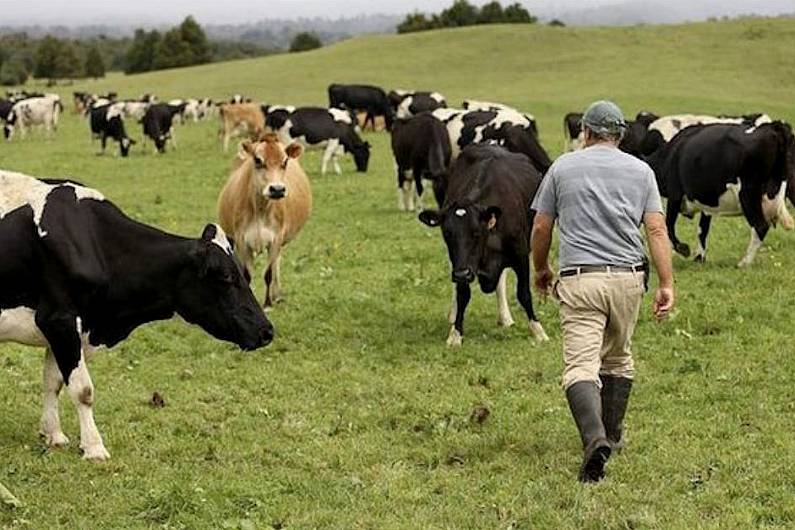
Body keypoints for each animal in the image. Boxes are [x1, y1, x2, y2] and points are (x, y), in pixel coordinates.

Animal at [0, 170, 274, 458]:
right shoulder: (58, 320)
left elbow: (53, 382)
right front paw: (94, 447)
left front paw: (53, 434)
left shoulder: (67, 328)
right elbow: (83, 390)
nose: (267, 330)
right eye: (226, 277)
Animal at [221, 133, 318, 306]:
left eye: (285, 161)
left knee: (276, 265)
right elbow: (246, 276)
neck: (260, 209)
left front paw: (267, 303)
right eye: (258, 160)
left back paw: (276, 295)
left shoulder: (276, 239)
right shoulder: (241, 240)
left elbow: (268, 273)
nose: (277, 189)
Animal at [420, 143, 552, 346]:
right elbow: (462, 294)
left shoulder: (520, 255)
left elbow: (523, 293)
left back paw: (505, 317)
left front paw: (538, 331)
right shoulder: (461, 264)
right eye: (447, 233)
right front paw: (456, 333)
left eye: (476, 232)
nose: (461, 274)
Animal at [648, 121, 795, 266]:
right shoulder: (706, 202)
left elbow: (668, 225)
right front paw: (699, 258)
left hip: (748, 194)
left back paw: (744, 263)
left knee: (760, 226)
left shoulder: (675, 194)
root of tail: (773, 128)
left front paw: (683, 249)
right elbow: (702, 229)